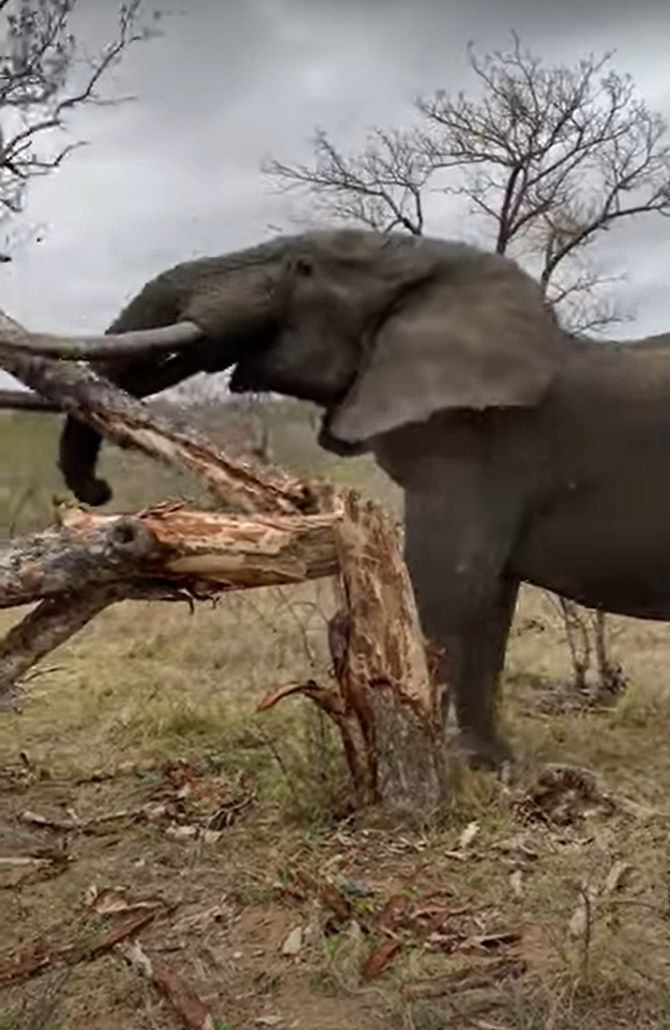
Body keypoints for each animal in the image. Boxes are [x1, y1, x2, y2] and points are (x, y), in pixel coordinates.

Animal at [56, 229, 670, 770]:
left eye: (302, 267)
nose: (98, 490)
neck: (429, 266)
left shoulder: (478, 446)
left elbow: (447, 584)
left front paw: (434, 762)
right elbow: (490, 600)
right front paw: (490, 766)